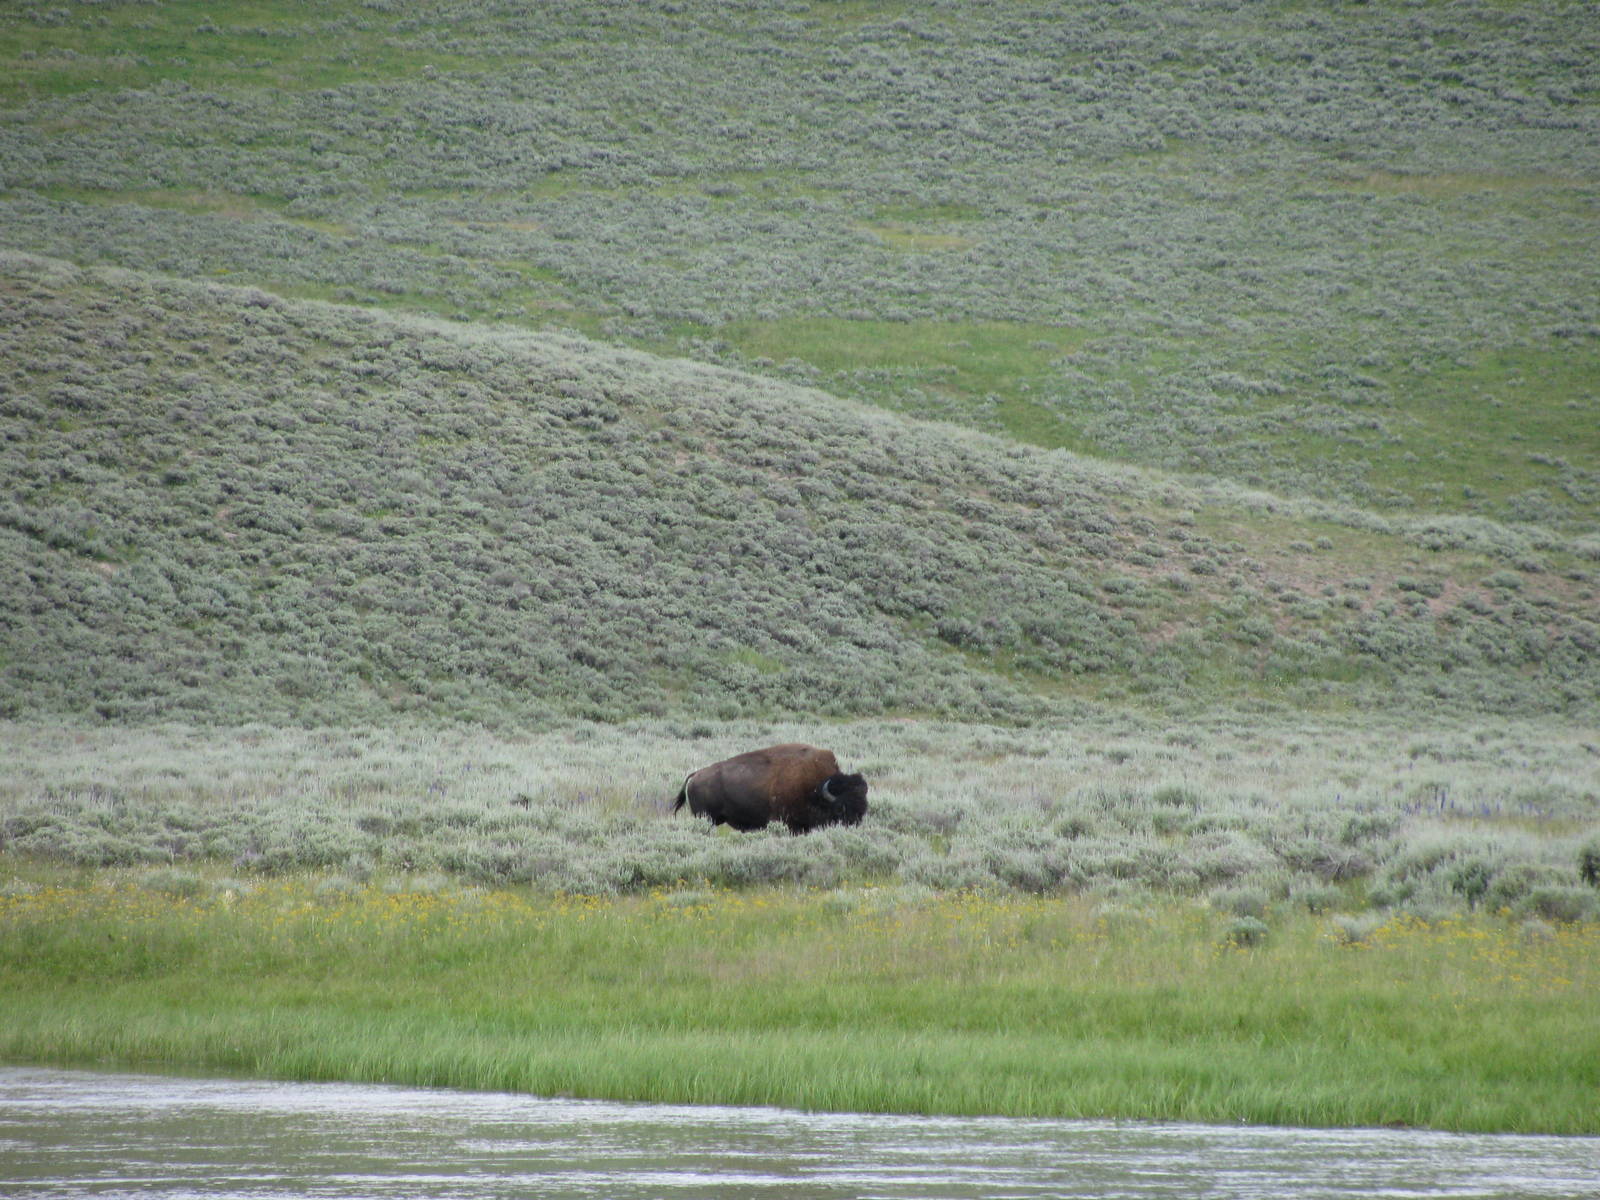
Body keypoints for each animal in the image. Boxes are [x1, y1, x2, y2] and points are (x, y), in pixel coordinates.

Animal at [672, 742, 868, 834]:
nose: (854, 826)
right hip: (706, 818)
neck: (816, 790)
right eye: (841, 809)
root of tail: (696, 775)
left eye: (864, 808)